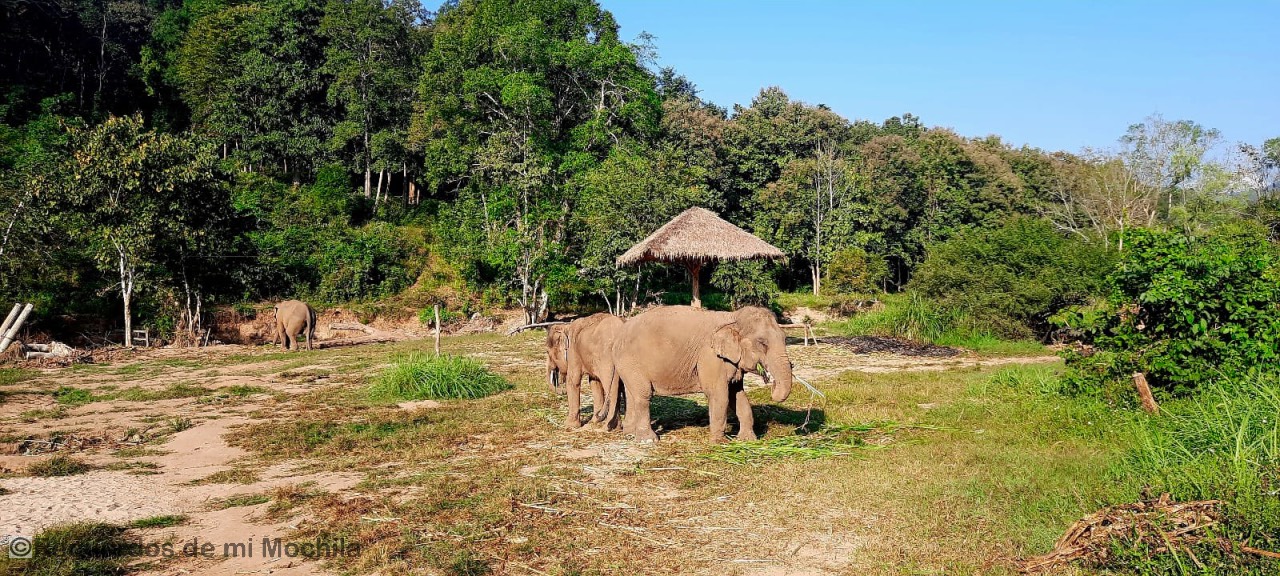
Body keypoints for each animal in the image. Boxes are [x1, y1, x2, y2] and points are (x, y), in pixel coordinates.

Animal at [606, 306, 794, 443]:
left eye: (785, 338)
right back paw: (649, 440)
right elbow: (719, 394)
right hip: (631, 361)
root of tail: (618, 335)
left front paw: (748, 440)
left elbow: (738, 395)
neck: (732, 317)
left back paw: (630, 434)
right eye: (762, 343)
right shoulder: (710, 357)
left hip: (627, 365)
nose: (771, 382)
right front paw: (720, 443)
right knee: (643, 395)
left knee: (632, 394)